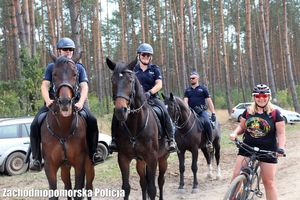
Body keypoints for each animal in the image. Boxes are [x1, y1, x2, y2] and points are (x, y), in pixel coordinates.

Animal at [40, 55, 94, 199]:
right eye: (54, 74)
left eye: (75, 74)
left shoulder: (80, 163)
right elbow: (54, 193)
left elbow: (78, 191)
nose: (65, 102)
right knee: (67, 186)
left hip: (89, 165)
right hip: (65, 167)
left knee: (89, 186)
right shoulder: (50, 166)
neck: (63, 129)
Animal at [106, 57, 170, 199]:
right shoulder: (123, 158)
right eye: (112, 80)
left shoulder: (152, 158)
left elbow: (152, 189)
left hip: (163, 158)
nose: (120, 111)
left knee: (161, 181)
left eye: (130, 81)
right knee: (143, 182)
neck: (134, 125)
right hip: (140, 161)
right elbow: (126, 188)